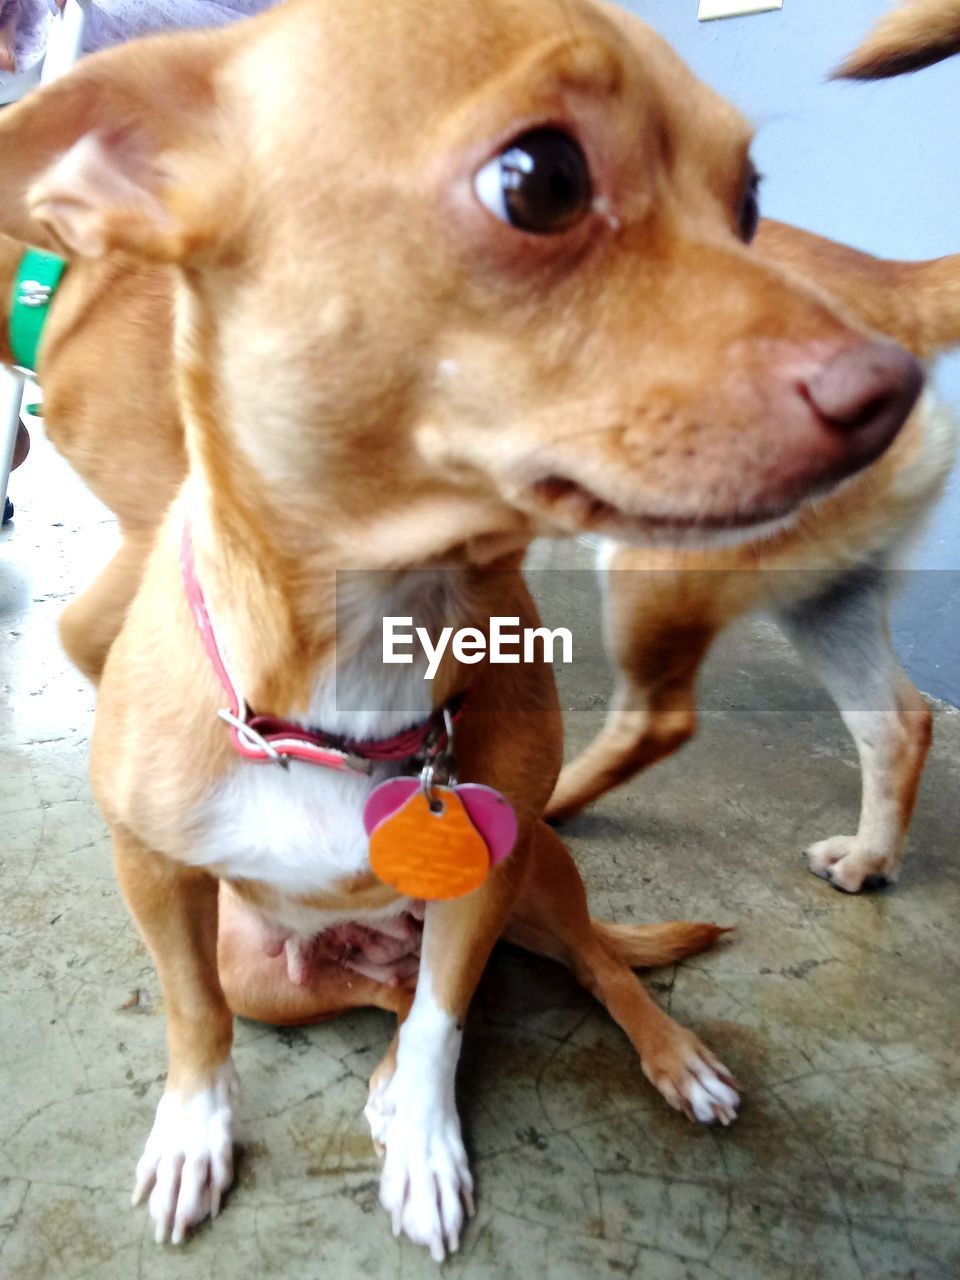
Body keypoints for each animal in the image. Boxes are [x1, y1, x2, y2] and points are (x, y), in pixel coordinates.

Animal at [0, 0, 942, 1264]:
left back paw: (665, 1057)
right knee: (389, 993)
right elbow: (197, 1017)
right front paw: (197, 1133)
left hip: (541, 868)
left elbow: (451, 1016)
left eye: (748, 202)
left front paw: (427, 1144)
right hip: (274, 970)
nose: (896, 391)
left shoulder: (487, 884)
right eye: (540, 181)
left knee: (571, 965)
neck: (361, 656)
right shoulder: (157, 880)